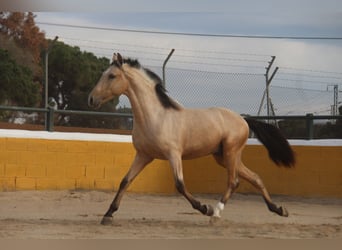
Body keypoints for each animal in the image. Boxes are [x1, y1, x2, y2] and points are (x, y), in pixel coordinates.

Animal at [87, 52, 294, 225]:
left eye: (112, 76)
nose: (91, 99)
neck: (155, 116)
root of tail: (243, 119)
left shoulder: (173, 154)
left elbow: (179, 184)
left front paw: (204, 208)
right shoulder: (143, 155)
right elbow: (125, 181)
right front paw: (108, 215)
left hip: (230, 151)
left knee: (233, 181)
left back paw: (216, 213)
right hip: (223, 157)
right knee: (255, 178)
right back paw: (279, 209)